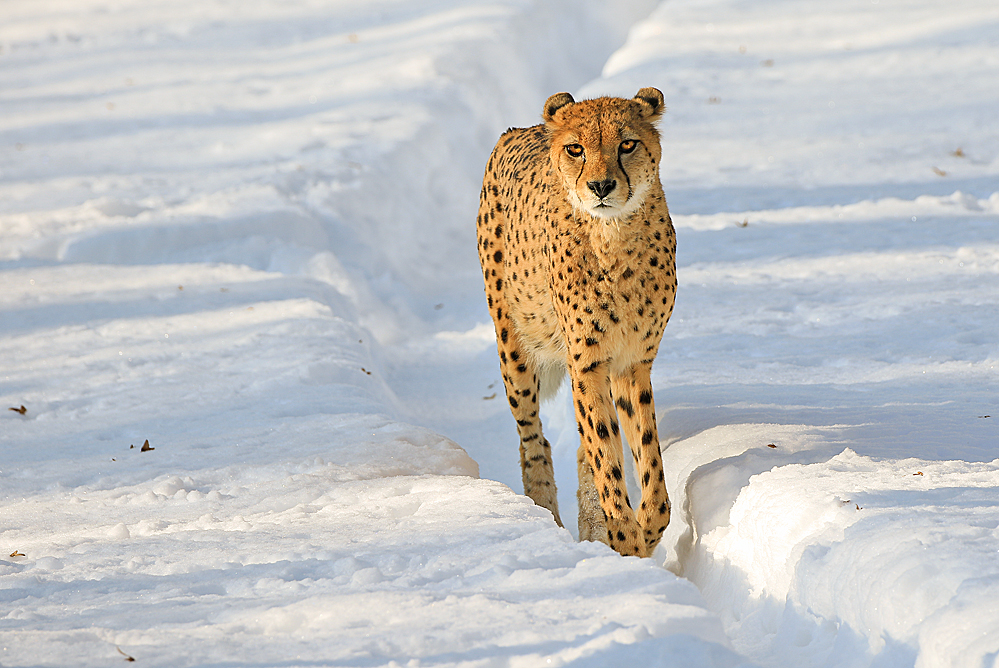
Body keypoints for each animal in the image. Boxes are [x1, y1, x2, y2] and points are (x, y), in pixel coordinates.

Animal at [478, 88, 680, 560]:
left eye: (627, 144)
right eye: (576, 149)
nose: (601, 186)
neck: (615, 236)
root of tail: (522, 128)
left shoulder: (632, 362)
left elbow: (645, 455)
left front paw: (646, 527)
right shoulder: (586, 361)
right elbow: (606, 455)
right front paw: (625, 538)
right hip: (513, 348)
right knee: (534, 438)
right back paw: (545, 510)